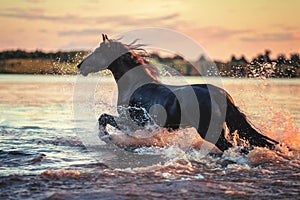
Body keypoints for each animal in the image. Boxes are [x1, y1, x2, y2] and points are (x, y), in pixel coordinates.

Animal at [77, 34, 278, 152]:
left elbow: (103, 118)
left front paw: (108, 138)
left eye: (98, 52)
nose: (80, 66)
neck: (136, 85)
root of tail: (222, 95)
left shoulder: (133, 122)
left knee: (229, 147)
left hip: (210, 131)